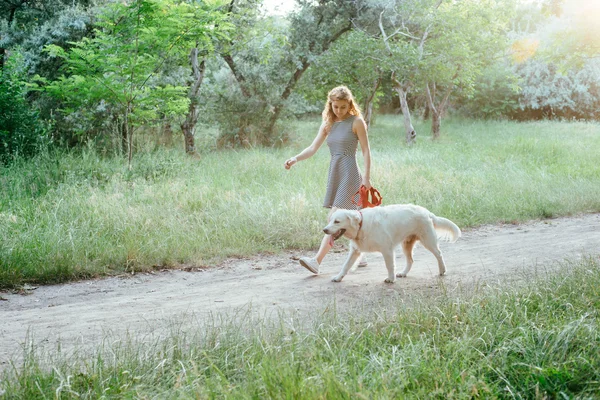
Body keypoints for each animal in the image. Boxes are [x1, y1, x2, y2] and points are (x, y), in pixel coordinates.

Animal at [324, 205, 460, 282]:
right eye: (330, 220)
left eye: (337, 221)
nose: (324, 230)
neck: (361, 225)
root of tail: (427, 212)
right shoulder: (355, 251)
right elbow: (345, 266)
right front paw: (338, 277)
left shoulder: (387, 250)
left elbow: (389, 266)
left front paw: (391, 279)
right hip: (406, 244)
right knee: (410, 261)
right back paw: (403, 273)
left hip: (428, 241)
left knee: (439, 254)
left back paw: (442, 270)